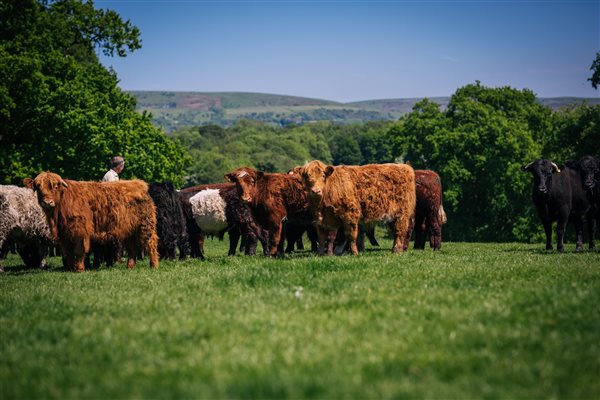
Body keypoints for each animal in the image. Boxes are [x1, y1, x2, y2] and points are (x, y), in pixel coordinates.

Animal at [26, 172, 158, 272]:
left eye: (55, 186)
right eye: (38, 187)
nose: (47, 202)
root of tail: (140, 184)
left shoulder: (80, 231)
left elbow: (79, 250)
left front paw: (79, 269)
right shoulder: (65, 234)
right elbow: (68, 252)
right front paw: (70, 268)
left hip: (145, 226)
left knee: (151, 243)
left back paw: (154, 265)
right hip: (129, 229)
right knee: (132, 247)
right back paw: (130, 266)